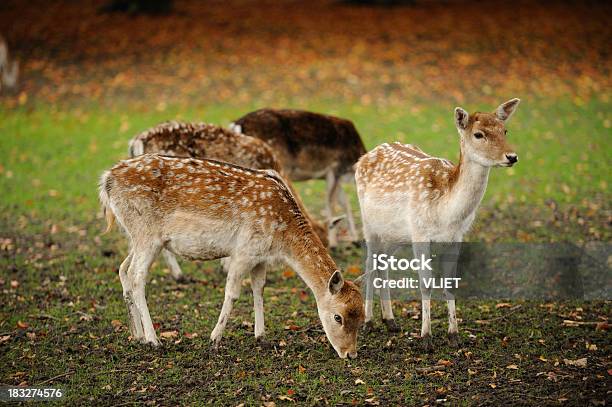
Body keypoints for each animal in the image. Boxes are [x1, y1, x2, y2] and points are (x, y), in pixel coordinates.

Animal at [100, 155, 364, 358]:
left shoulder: (260, 256)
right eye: (338, 317)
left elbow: (259, 288)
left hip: (137, 237)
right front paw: (214, 339)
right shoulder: (244, 251)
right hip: (147, 234)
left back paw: (137, 335)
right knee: (137, 276)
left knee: (123, 270)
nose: (350, 354)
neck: (282, 239)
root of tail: (106, 180)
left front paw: (261, 336)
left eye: (361, 316)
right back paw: (154, 340)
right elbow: (233, 292)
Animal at [228, 109, 364, 249]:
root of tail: (236, 124)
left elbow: (344, 202)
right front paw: (334, 243)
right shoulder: (335, 169)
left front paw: (355, 240)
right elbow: (331, 203)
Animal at [354, 99, 520, 350]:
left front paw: (454, 335)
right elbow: (425, 283)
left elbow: (450, 283)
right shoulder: (420, 233)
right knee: (369, 262)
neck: (447, 213)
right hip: (369, 222)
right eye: (479, 134)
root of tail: (362, 158)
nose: (511, 156)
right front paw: (426, 338)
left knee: (383, 263)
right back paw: (369, 322)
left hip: (396, 234)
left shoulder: (456, 237)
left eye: (505, 130)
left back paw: (390, 321)